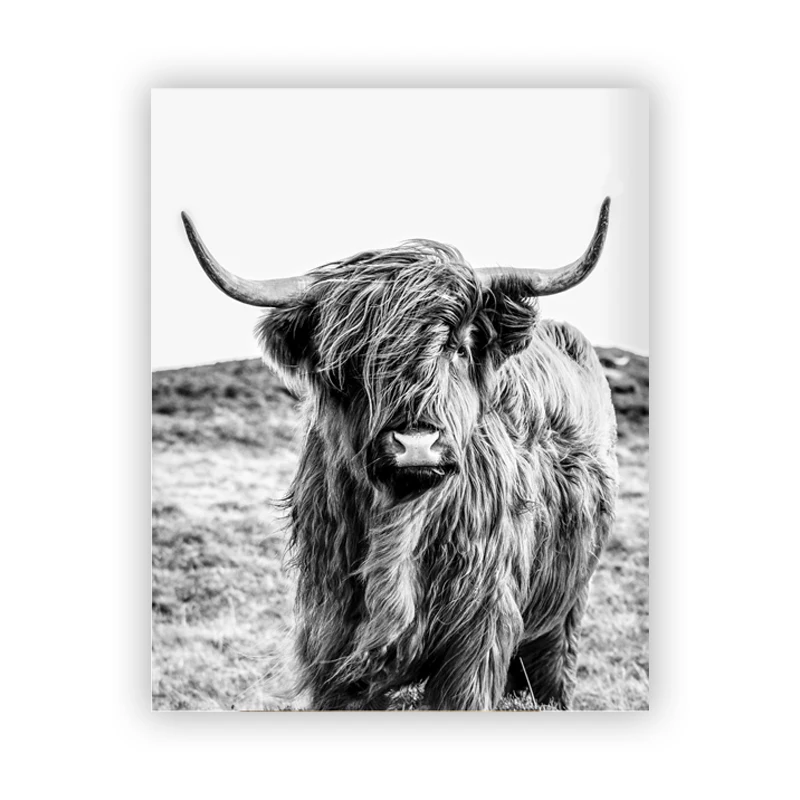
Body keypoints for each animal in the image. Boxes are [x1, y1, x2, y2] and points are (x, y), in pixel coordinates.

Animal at [181, 198, 618, 710]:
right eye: (352, 360)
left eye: (459, 347)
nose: (416, 445)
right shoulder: (331, 638)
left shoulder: (478, 636)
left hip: (567, 606)